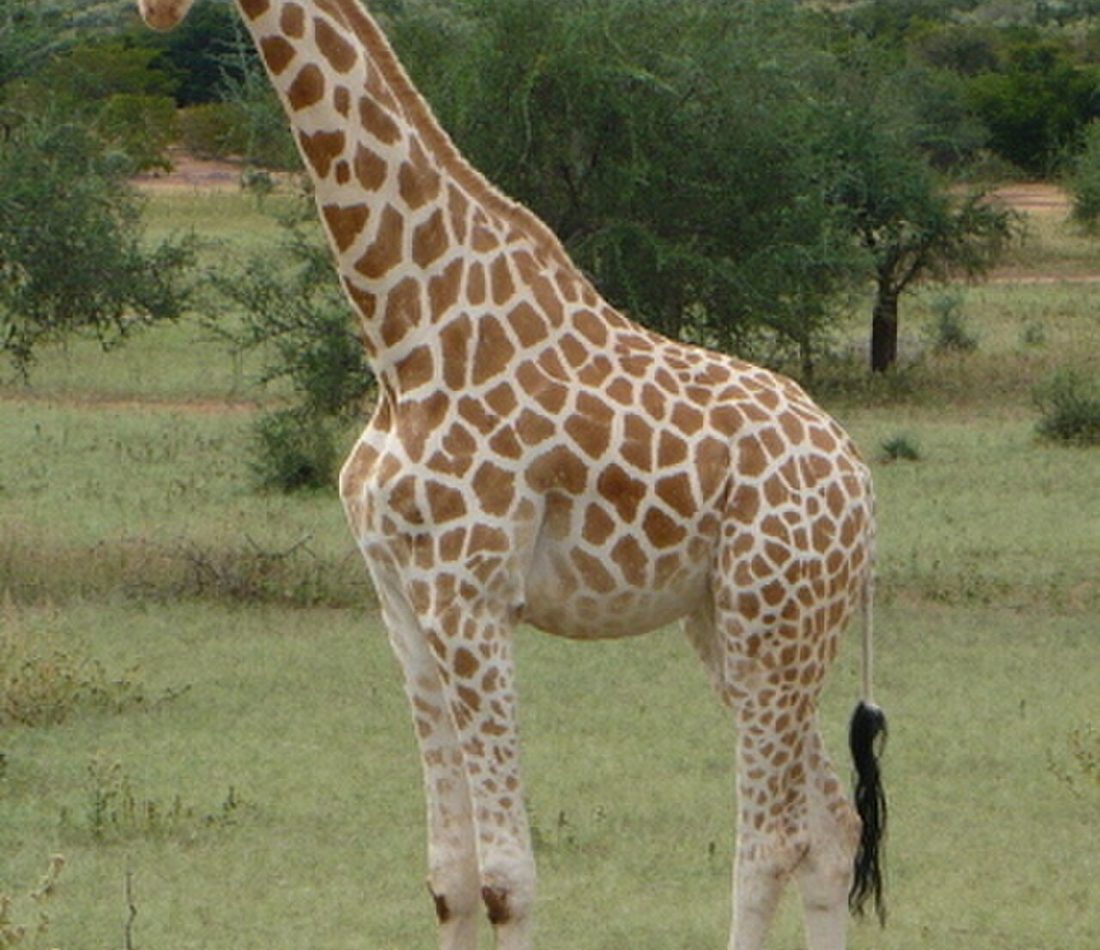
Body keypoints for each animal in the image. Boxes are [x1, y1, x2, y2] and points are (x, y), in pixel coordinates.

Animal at [138, 1, 888, 947]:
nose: (155, 14)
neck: (406, 336)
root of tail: (860, 484)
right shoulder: (402, 602)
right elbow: (449, 879)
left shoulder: (471, 595)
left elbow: (505, 882)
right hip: (735, 623)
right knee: (833, 827)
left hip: (774, 618)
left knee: (773, 840)